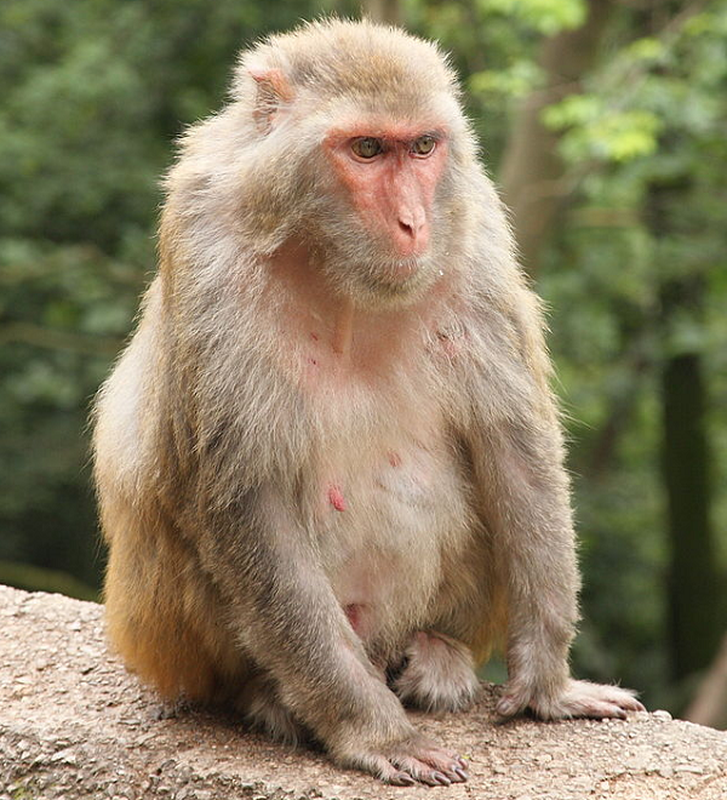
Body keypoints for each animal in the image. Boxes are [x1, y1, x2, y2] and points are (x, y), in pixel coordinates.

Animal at [91, 18, 644, 788]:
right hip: (171, 634)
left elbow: (513, 444)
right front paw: (376, 733)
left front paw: (547, 687)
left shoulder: (473, 226)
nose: (413, 222)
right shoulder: (204, 241)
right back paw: (272, 696)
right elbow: (245, 499)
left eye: (422, 147)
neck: (332, 263)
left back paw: (436, 651)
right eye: (366, 149)